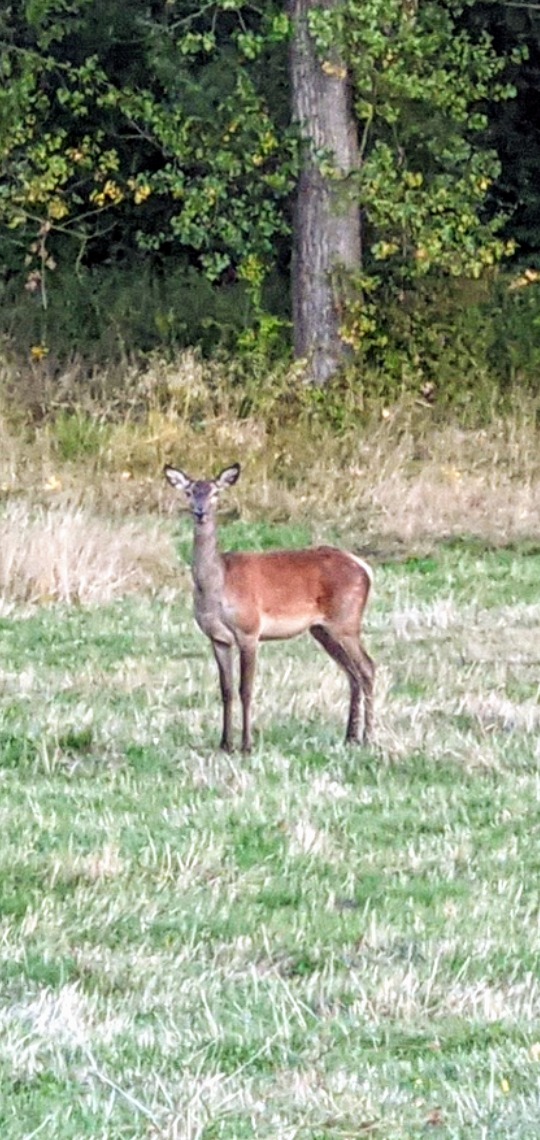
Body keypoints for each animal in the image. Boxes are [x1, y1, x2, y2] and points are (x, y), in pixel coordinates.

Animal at [164, 458, 375, 752]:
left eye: (215, 492)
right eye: (190, 492)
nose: (200, 512)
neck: (219, 585)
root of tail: (365, 569)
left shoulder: (250, 630)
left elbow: (246, 689)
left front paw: (247, 745)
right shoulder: (217, 638)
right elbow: (226, 690)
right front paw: (225, 743)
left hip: (347, 620)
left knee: (367, 668)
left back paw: (369, 737)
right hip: (322, 629)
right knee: (352, 672)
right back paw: (350, 737)